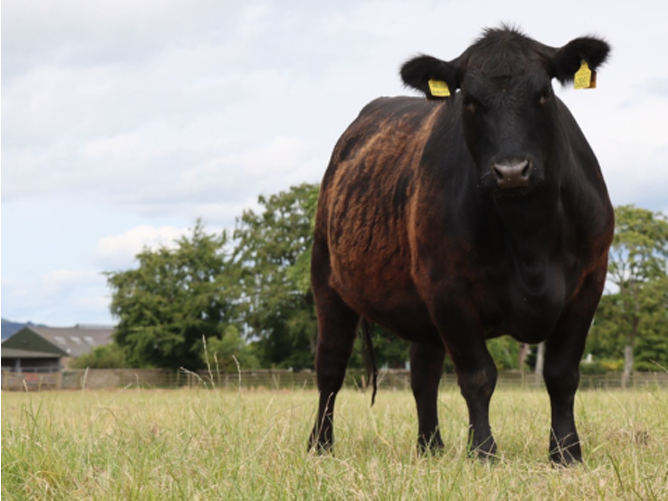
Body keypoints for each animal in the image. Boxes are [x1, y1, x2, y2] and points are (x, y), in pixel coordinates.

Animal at [307, 26, 613, 464]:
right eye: (468, 99)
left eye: (544, 93)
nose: (511, 171)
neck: (530, 240)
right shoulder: (447, 286)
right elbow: (478, 375)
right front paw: (483, 451)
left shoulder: (590, 281)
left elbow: (562, 374)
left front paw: (567, 453)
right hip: (328, 282)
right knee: (330, 368)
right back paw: (320, 446)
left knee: (423, 373)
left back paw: (430, 447)